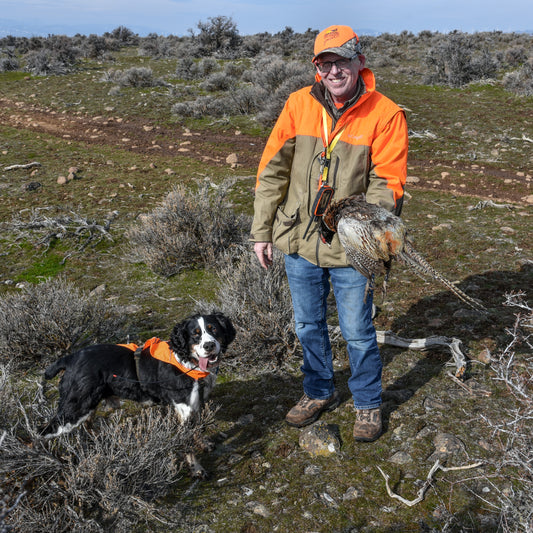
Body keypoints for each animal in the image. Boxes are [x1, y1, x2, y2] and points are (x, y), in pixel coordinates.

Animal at [41, 312, 233, 474]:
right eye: (195, 334)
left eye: (214, 329)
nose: (209, 345)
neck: (186, 360)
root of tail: (70, 358)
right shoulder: (184, 408)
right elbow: (188, 442)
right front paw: (196, 469)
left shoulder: (195, 404)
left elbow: (198, 430)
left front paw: (203, 444)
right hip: (74, 409)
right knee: (42, 433)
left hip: (88, 405)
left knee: (87, 426)